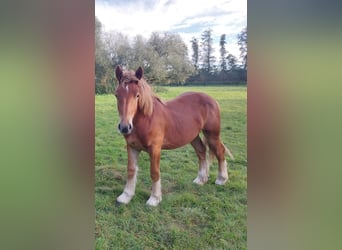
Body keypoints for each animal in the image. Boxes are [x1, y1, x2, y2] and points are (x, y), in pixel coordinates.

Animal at [113, 65, 234, 206]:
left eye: (137, 95)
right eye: (117, 95)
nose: (125, 127)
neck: (147, 119)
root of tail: (212, 100)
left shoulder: (155, 149)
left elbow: (154, 172)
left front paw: (154, 198)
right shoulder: (132, 147)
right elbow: (131, 170)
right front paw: (126, 196)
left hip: (212, 134)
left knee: (220, 152)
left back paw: (221, 179)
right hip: (193, 136)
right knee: (201, 151)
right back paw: (201, 179)